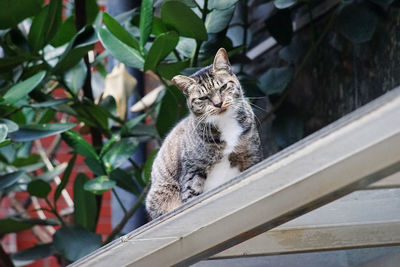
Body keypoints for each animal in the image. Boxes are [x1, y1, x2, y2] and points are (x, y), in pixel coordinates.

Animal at [145, 48, 260, 220]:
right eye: (203, 98)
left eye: (223, 87)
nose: (218, 103)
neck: (225, 124)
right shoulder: (192, 170)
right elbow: (192, 196)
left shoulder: (251, 156)